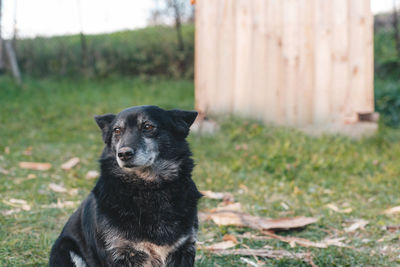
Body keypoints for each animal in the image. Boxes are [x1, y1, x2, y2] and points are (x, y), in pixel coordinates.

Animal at [48, 105, 202, 266]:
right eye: (117, 130)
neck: (147, 187)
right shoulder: (119, 253)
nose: (123, 154)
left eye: (147, 126)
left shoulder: (184, 248)